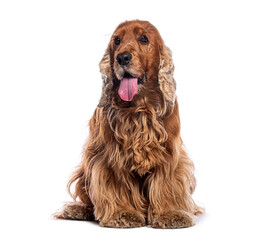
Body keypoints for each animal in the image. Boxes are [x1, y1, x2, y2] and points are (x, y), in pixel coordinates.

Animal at [55, 19, 204, 228]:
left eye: (144, 38)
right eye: (116, 40)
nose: (122, 58)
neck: (139, 108)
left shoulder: (170, 154)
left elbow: (166, 183)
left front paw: (171, 213)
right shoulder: (110, 157)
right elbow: (117, 184)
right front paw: (122, 213)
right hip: (85, 167)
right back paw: (77, 210)